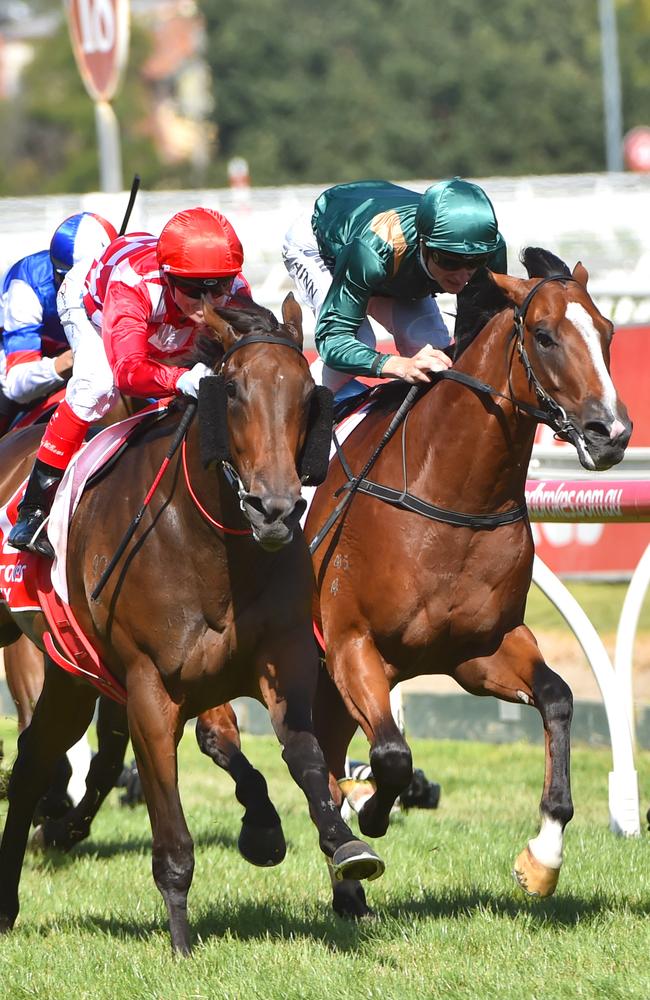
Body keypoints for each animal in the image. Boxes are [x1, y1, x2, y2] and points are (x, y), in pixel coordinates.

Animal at [0, 294, 382, 952]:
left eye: (306, 394)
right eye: (231, 391)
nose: (274, 508)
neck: (214, 545)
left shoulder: (283, 662)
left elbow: (305, 758)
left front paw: (342, 842)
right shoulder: (149, 687)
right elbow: (172, 833)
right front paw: (180, 943)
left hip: (70, 675)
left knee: (30, 764)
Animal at [306, 248, 632, 916]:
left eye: (609, 332)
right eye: (544, 335)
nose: (610, 434)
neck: (450, 489)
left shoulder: (478, 649)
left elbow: (558, 698)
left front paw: (542, 859)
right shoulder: (352, 644)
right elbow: (392, 755)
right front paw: (371, 809)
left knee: (324, 751)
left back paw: (346, 881)